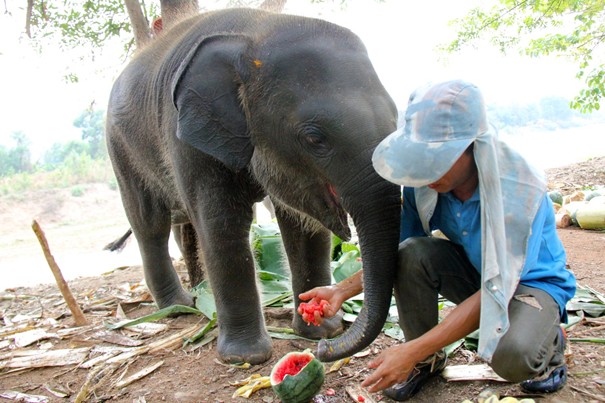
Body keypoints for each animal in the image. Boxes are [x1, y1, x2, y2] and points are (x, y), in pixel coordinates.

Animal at [105, 7, 402, 364]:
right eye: (315, 139)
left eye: (397, 119)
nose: (323, 351)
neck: (258, 31)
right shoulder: (186, 137)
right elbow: (221, 226)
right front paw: (246, 357)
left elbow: (305, 228)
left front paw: (319, 329)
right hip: (120, 147)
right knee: (149, 223)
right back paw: (179, 308)